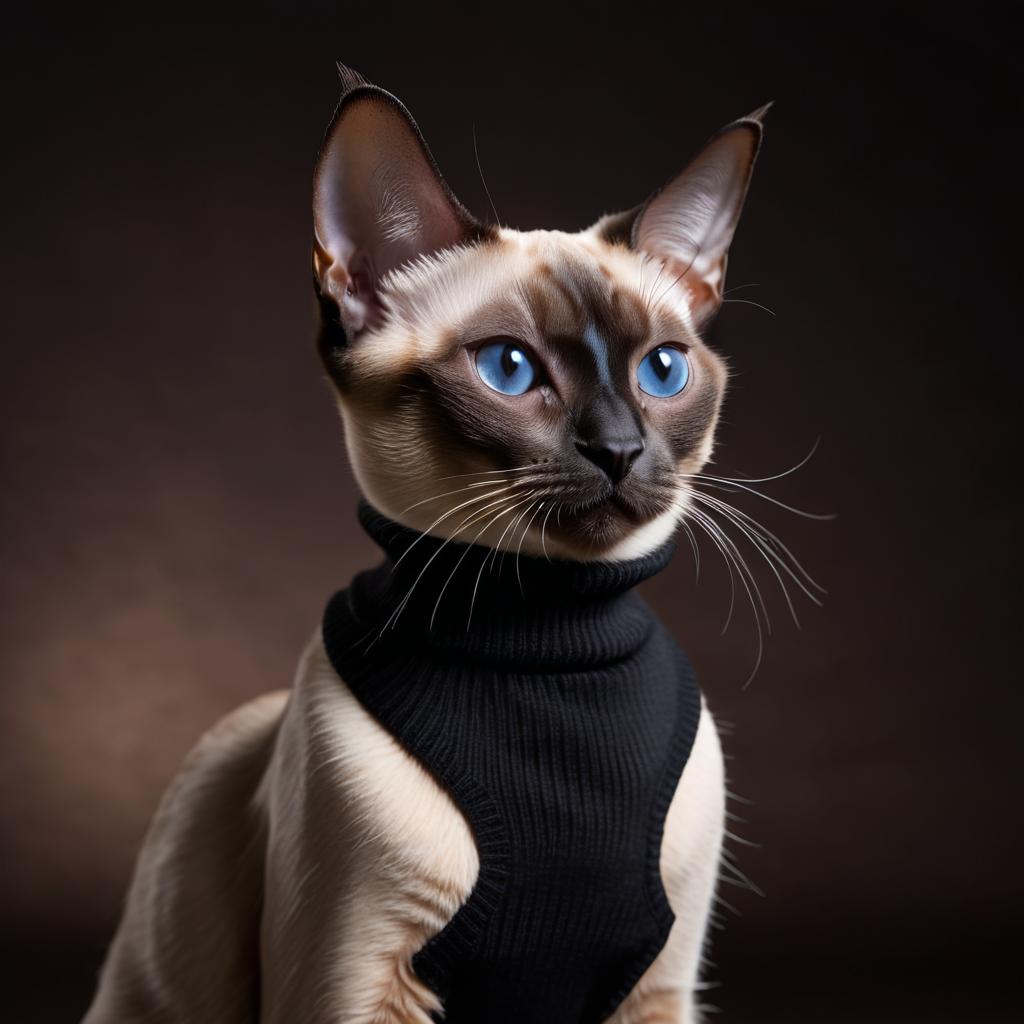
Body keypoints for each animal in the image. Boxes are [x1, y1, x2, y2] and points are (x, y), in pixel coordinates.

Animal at [81, 66, 770, 1024]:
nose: (620, 449)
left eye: (662, 371)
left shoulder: (660, 985)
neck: (547, 647)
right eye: (509, 369)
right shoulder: (357, 982)